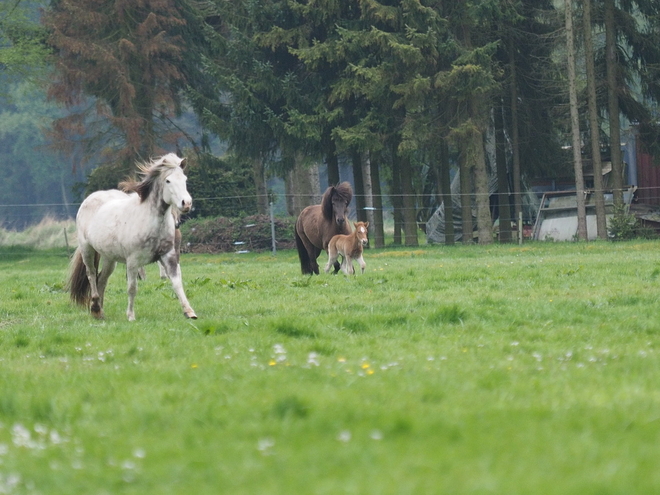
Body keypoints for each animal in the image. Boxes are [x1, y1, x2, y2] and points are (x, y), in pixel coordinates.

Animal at [71, 153, 199, 322]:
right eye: (168, 180)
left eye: (184, 179)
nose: (186, 203)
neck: (151, 221)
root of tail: (90, 198)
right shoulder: (132, 261)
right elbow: (132, 288)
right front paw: (131, 316)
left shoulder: (169, 255)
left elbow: (177, 283)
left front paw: (189, 312)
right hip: (87, 250)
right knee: (92, 275)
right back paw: (96, 307)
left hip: (109, 258)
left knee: (102, 279)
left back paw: (99, 312)